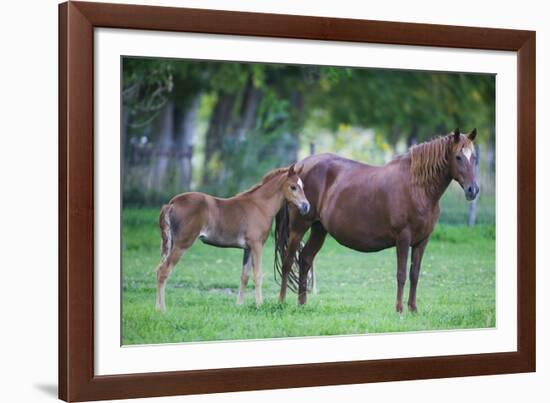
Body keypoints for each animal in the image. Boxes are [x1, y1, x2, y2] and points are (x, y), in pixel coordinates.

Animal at [155, 164, 310, 312]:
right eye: (293, 187)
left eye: (303, 186)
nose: (306, 206)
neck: (260, 206)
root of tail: (172, 203)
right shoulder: (257, 245)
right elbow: (258, 275)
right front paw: (259, 305)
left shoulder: (248, 248)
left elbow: (244, 276)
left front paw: (239, 305)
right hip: (182, 244)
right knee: (164, 270)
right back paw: (162, 310)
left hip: (170, 243)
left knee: (159, 269)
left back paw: (157, 307)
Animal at [278, 129, 480, 312]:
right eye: (458, 157)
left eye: (474, 157)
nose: (473, 190)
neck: (417, 187)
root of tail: (299, 166)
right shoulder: (403, 238)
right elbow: (401, 274)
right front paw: (399, 309)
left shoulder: (422, 241)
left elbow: (414, 274)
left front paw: (413, 309)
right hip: (298, 228)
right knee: (288, 262)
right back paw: (281, 302)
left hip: (319, 229)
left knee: (305, 259)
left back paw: (302, 304)